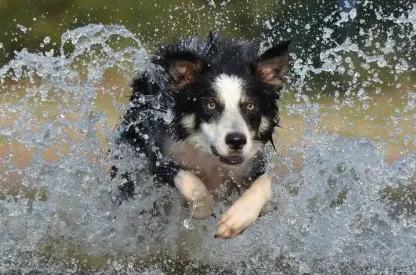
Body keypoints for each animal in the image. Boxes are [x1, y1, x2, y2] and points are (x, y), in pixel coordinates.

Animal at [109, 32, 290, 239]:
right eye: (210, 104)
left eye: (250, 106)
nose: (236, 141)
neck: (209, 156)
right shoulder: (159, 153)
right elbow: (190, 181)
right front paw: (202, 207)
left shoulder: (253, 161)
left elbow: (264, 184)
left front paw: (235, 220)